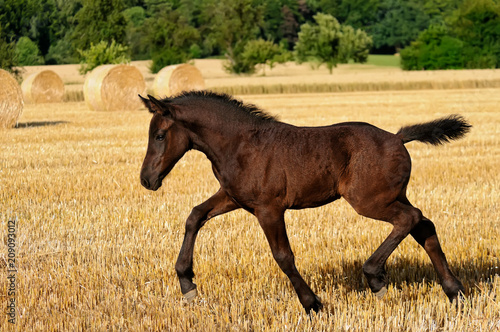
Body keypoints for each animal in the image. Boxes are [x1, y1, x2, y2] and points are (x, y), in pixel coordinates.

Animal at [138, 91, 468, 314]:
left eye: (159, 135)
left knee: (410, 218)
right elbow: (194, 216)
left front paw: (312, 304)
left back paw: (375, 277)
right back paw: (455, 292)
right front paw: (187, 284)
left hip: (369, 200)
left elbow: (283, 256)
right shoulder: (233, 197)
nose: (146, 180)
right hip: (391, 194)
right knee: (424, 226)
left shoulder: (269, 208)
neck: (239, 144)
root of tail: (398, 138)